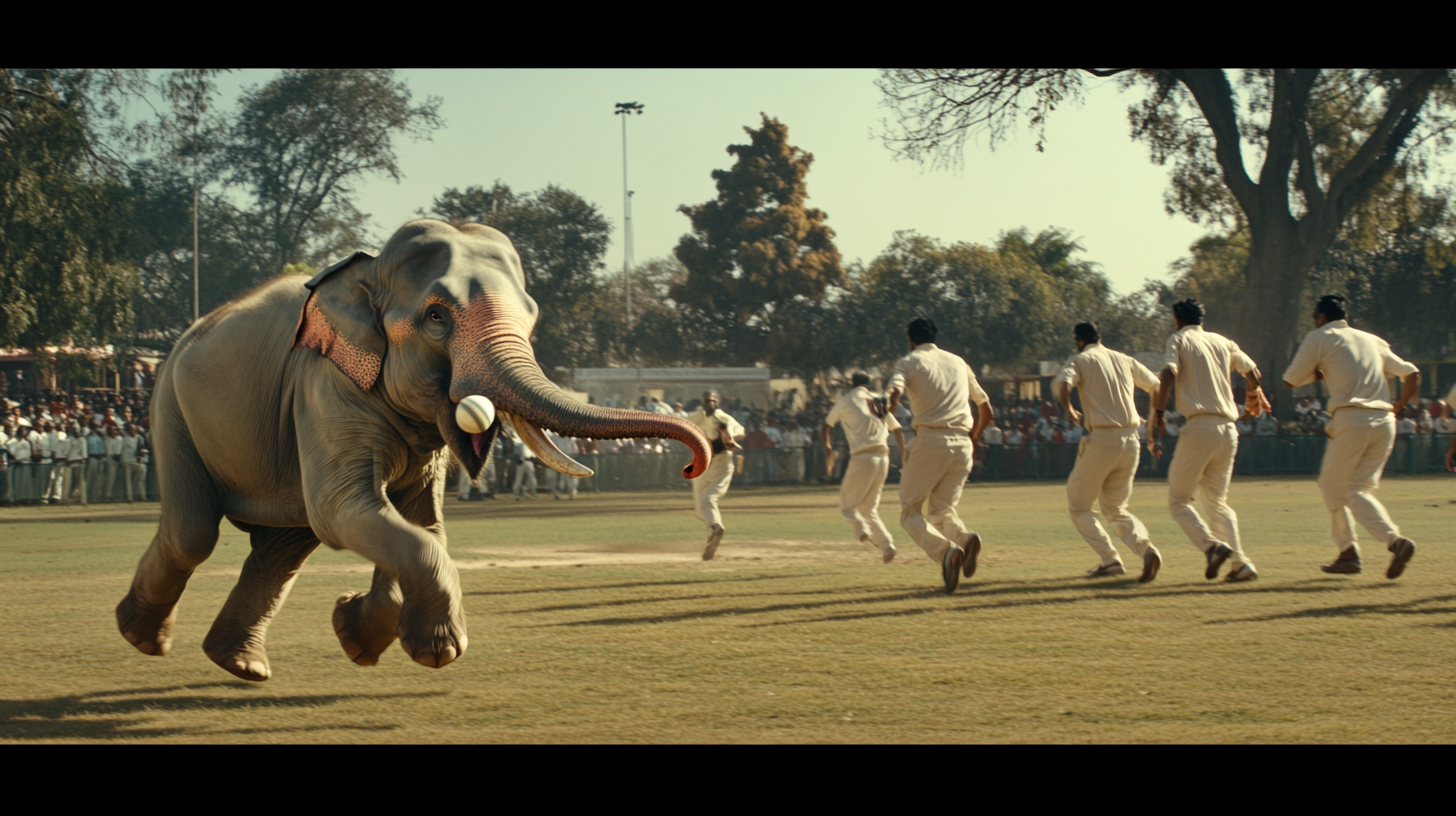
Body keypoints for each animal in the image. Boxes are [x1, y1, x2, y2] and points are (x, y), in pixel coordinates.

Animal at [115, 218, 710, 681]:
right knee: (197, 531)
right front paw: (432, 648)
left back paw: (240, 665)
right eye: (436, 317)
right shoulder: (323, 381)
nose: (692, 464)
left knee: (282, 549)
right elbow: (349, 512)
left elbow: (418, 521)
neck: (370, 270)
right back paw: (143, 638)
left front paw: (361, 634)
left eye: (532, 317)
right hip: (171, 407)